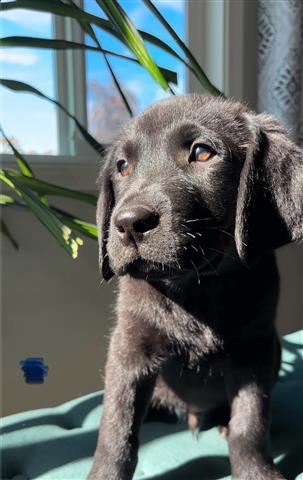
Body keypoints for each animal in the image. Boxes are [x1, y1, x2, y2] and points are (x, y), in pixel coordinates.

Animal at [87, 94, 302, 480]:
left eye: (202, 152)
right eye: (123, 166)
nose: (128, 223)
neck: (193, 288)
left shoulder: (254, 351)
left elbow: (250, 423)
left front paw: (255, 470)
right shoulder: (129, 348)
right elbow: (117, 426)